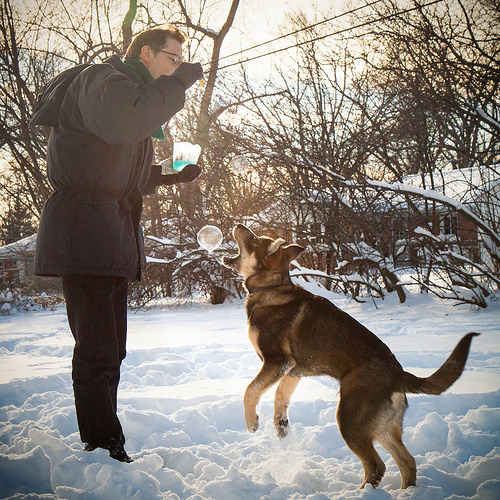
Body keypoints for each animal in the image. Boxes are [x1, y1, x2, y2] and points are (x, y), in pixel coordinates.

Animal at [224, 225, 480, 490]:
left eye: (253, 239)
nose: (239, 226)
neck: (270, 288)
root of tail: (399, 375)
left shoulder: (278, 361)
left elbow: (251, 390)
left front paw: (252, 422)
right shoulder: (294, 369)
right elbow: (280, 395)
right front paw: (281, 425)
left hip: (349, 419)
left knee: (377, 465)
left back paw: (361, 492)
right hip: (382, 427)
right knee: (407, 462)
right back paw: (404, 492)